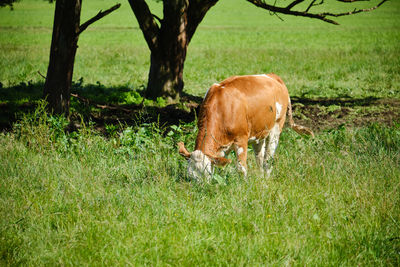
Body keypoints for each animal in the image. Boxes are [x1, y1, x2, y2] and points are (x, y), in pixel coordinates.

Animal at [177, 74, 312, 181]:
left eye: (207, 174)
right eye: (190, 176)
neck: (221, 109)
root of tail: (274, 76)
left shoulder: (241, 139)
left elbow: (241, 168)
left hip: (276, 127)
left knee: (268, 158)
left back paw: (267, 178)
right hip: (260, 132)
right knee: (260, 157)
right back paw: (261, 178)